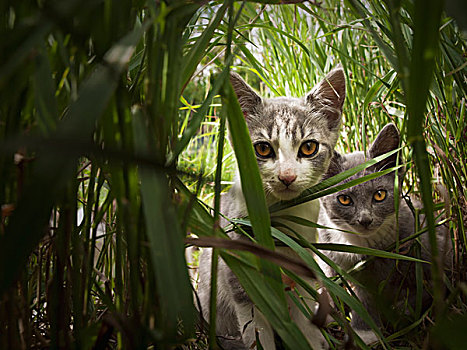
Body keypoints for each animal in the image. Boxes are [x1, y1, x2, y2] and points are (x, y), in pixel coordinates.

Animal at [197, 66, 348, 350]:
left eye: (308, 147)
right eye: (263, 148)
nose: (287, 176)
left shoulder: (303, 269)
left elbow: (305, 323)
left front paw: (310, 341)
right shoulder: (240, 278)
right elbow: (256, 333)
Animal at [316, 123, 452, 344]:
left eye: (379, 195)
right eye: (344, 199)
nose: (365, 220)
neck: (355, 242)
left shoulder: (388, 259)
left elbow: (367, 296)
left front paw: (364, 332)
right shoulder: (325, 247)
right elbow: (327, 278)